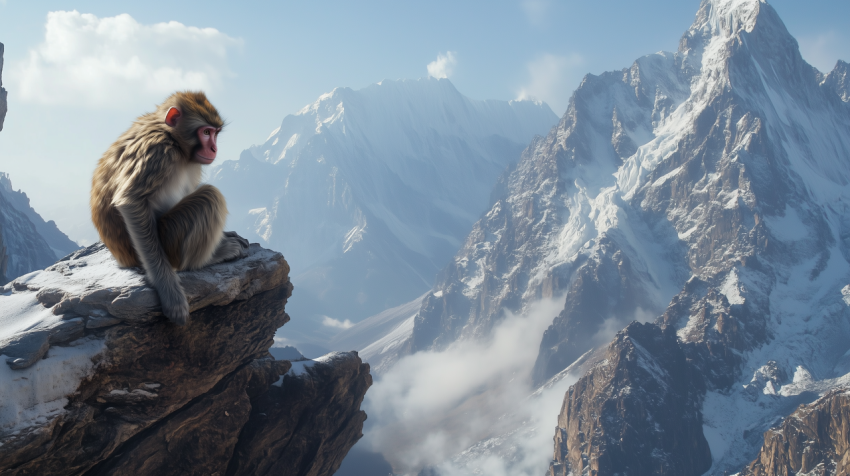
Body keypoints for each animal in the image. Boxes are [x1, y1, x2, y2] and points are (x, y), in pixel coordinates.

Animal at [91, 91, 247, 326]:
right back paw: (210, 257)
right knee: (210, 197)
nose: (214, 148)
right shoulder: (156, 152)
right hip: (169, 240)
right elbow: (131, 202)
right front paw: (169, 292)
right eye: (206, 132)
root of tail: (123, 259)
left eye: (215, 133)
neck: (172, 139)